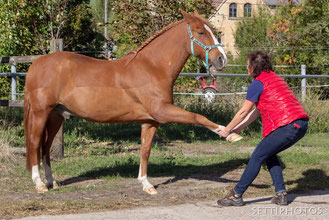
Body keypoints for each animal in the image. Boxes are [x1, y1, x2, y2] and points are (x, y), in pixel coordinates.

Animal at [25, 9, 236, 192]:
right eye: (200, 32)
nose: (222, 60)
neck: (153, 68)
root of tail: (36, 64)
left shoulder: (150, 121)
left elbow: (145, 150)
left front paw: (146, 184)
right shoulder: (163, 111)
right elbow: (197, 117)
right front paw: (229, 134)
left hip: (56, 116)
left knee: (45, 147)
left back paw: (52, 182)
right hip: (41, 113)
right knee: (35, 143)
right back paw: (39, 184)